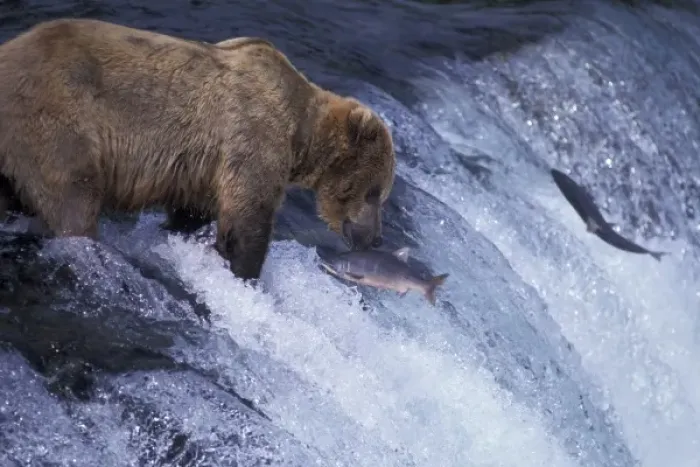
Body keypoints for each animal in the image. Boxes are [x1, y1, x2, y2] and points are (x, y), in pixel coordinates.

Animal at [0, 18, 396, 281]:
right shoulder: (250, 133)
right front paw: (245, 271)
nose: (375, 238)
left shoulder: (201, 168)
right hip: (56, 121)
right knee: (73, 200)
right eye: (374, 192)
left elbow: (193, 212)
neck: (300, 132)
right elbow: (248, 216)